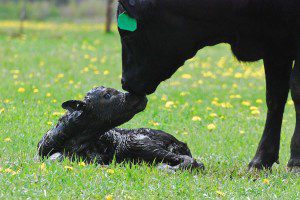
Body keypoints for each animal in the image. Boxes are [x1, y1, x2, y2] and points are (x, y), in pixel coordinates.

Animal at [116, 0, 300, 172]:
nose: (125, 82)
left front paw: (295, 161)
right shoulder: (275, 47)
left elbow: (296, 90)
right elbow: (275, 98)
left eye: (127, 35)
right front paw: (261, 160)